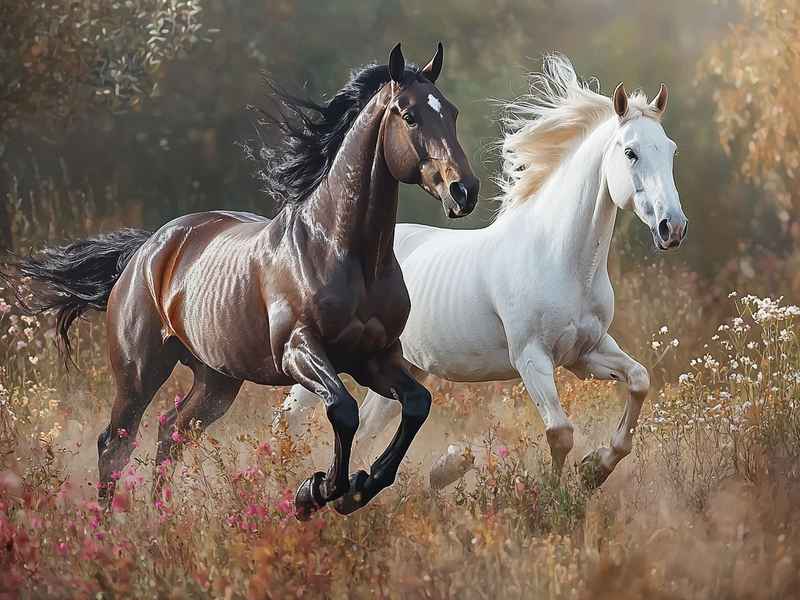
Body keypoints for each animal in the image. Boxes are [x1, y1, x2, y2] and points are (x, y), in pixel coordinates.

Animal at [3, 43, 479, 519]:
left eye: (453, 112)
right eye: (410, 115)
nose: (465, 191)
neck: (342, 251)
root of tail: (144, 252)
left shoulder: (375, 357)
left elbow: (416, 405)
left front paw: (358, 488)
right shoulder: (299, 352)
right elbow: (343, 410)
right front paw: (316, 491)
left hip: (217, 379)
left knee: (171, 432)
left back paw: (162, 516)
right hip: (139, 372)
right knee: (116, 443)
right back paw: (109, 526)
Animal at [276, 55, 687, 489]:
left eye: (670, 150)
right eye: (630, 153)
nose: (672, 228)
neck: (561, 258)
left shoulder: (586, 353)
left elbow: (639, 381)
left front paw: (596, 468)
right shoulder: (532, 358)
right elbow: (560, 432)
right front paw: (558, 496)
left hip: (403, 367)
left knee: (369, 428)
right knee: (291, 419)